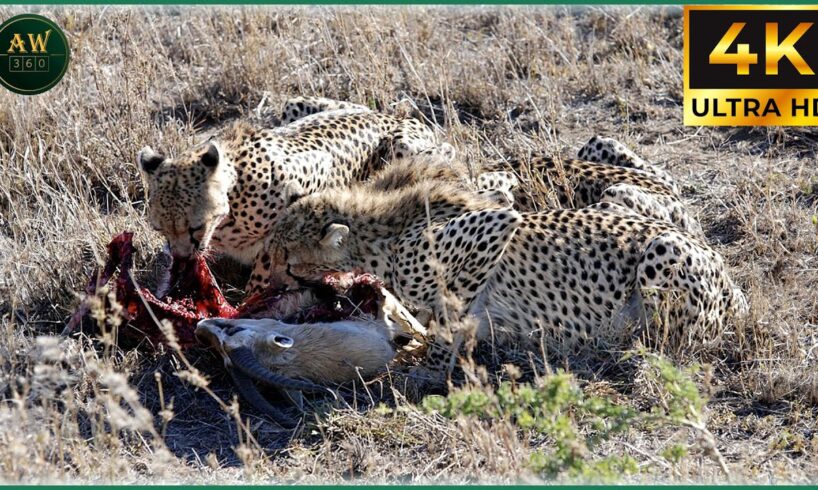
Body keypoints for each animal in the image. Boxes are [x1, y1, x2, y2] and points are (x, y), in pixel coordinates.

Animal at [137, 97, 452, 264]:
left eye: (196, 226)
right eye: (159, 229)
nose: (182, 258)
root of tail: (386, 114)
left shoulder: (316, 168)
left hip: (406, 147)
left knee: (448, 150)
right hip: (297, 103)